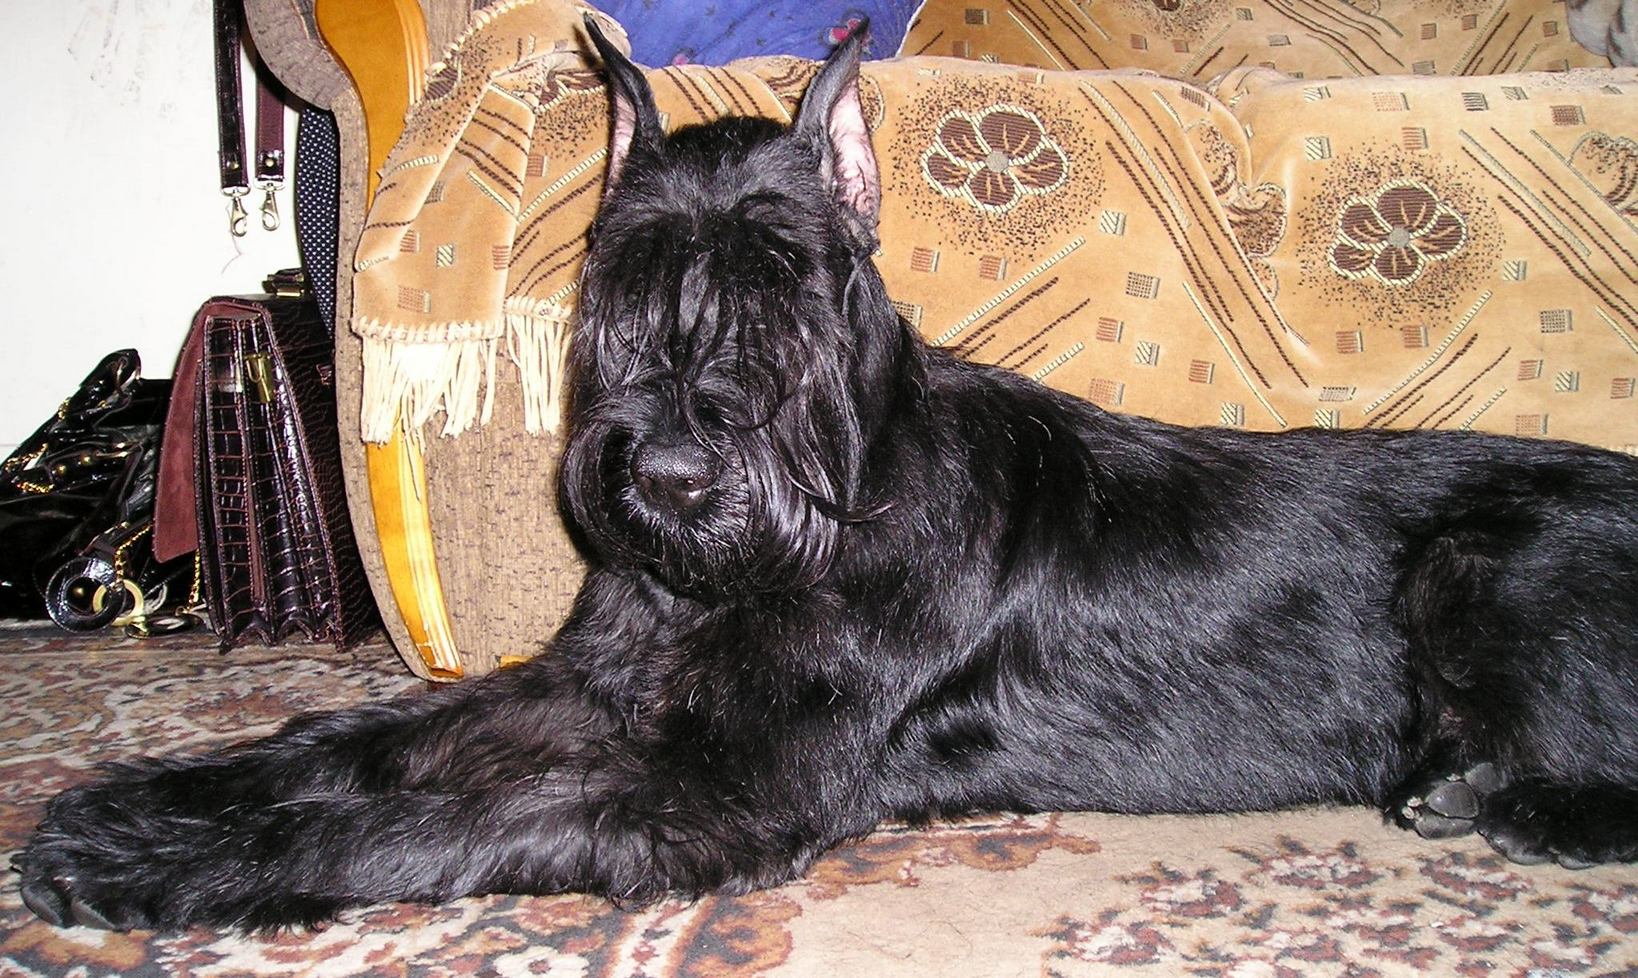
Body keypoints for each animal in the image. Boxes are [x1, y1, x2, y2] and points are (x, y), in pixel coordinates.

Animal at [16, 20, 1638, 933]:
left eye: (792, 293)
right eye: (622, 286)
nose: (673, 477)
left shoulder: (720, 786)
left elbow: (429, 819)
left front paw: (172, 872)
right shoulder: (586, 686)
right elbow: (357, 740)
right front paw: (143, 802)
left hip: (1485, 560)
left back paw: (1497, 801)